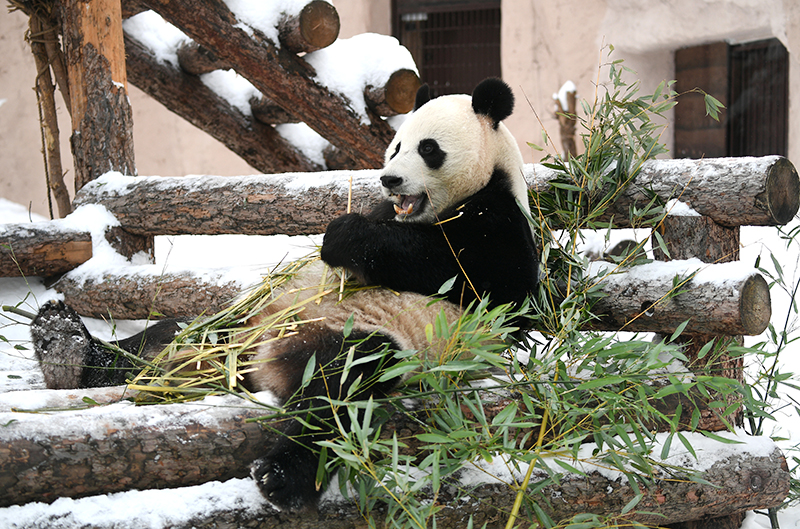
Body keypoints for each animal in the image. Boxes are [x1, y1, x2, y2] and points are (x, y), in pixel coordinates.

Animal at [34, 78, 540, 512]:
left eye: (428, 149)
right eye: (396, 146)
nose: (389, 179)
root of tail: (257, 367)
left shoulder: (500, 229)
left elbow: (469, 275)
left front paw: (344, 236)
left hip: (367, 339)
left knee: (342, 387)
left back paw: (282, 475)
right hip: (236, 326)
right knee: (169, 337)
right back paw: (64, 343)